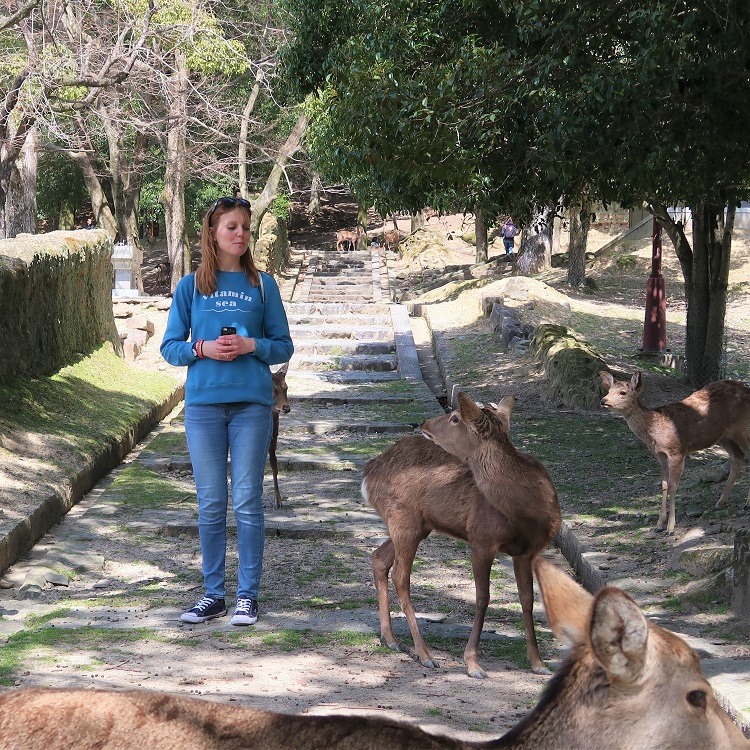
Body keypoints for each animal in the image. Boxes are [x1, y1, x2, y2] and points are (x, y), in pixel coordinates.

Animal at [362, 394, 560, 680]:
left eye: (455, 418)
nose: (424, 422)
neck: (528, 513)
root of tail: (367, 474)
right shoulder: (481, 538)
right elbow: (482, 598)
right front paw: (473, 663)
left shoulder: (527, 551)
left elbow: (528, 600)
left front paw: (538, 662)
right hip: (403, 519)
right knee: (401, 575)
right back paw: (425, 654)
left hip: (418, 525)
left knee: (379, 558)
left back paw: (391, 639)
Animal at [604, 370, 750, 536]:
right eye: (608, 390)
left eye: (622, 392)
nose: (603, 400)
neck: (655, 432)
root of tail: (747, 390)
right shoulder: (660, 455)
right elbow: (664, 485)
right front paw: (659, 525)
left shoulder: (677, 451)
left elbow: (673, 486)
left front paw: (671, 528)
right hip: (724, 436)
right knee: (738, 456)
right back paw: (720, 502)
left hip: (740, 427)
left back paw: (746, 504)